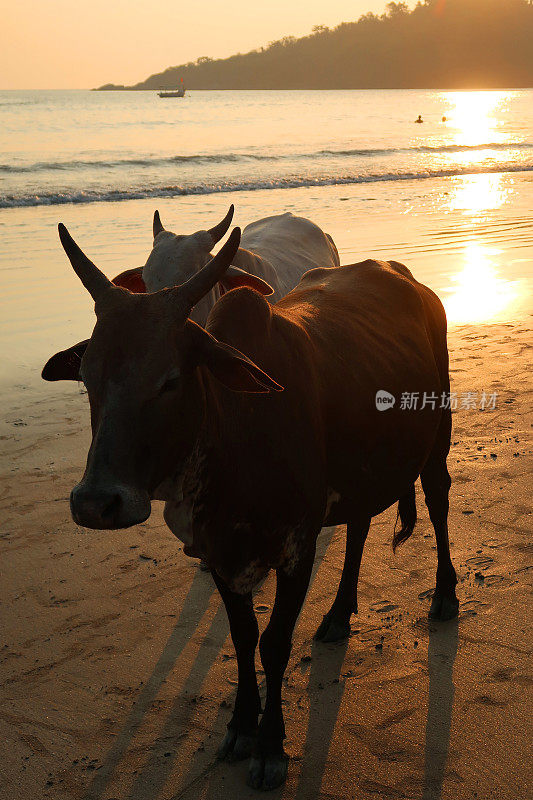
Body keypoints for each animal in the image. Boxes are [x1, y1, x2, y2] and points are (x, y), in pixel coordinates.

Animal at [42, 223, 458, 788]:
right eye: (87, 376)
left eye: (171, 378)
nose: (95, 503)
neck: (232, 431)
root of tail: (409, 280)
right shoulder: (218, 553)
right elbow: (243, 637)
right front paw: (241, 725)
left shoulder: (296, 547)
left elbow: (274, 643)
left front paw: (270, 746)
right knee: (358, 527)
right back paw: (338, 614)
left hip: (437, 436)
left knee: (437, 502)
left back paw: (444, 596)